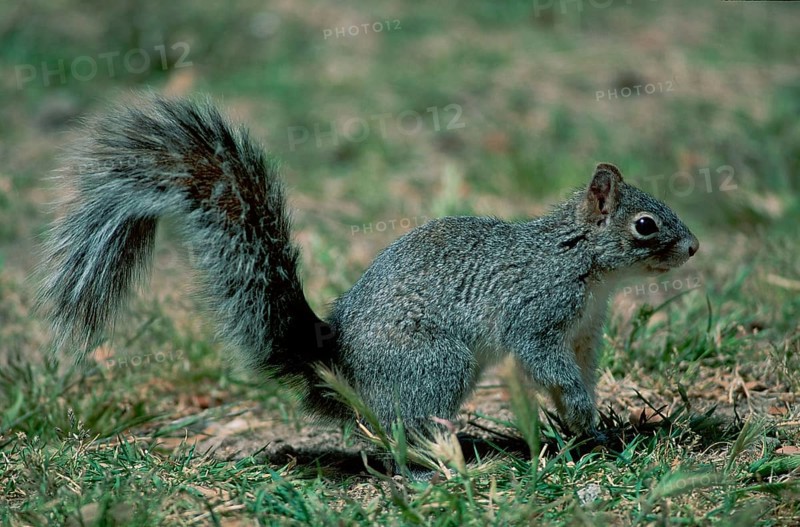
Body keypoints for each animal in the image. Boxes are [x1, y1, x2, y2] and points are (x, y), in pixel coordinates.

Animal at [37, 95, 699, 443]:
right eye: (645, 225)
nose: (693, 248)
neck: (582, 262)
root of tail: (337, 363)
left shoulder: (584, 330)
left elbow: (575, 371)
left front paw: (588, 423)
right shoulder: (536, 310)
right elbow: (542, 358)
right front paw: (583, 413)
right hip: (436, 363)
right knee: (398, 433)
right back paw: (441, 460)